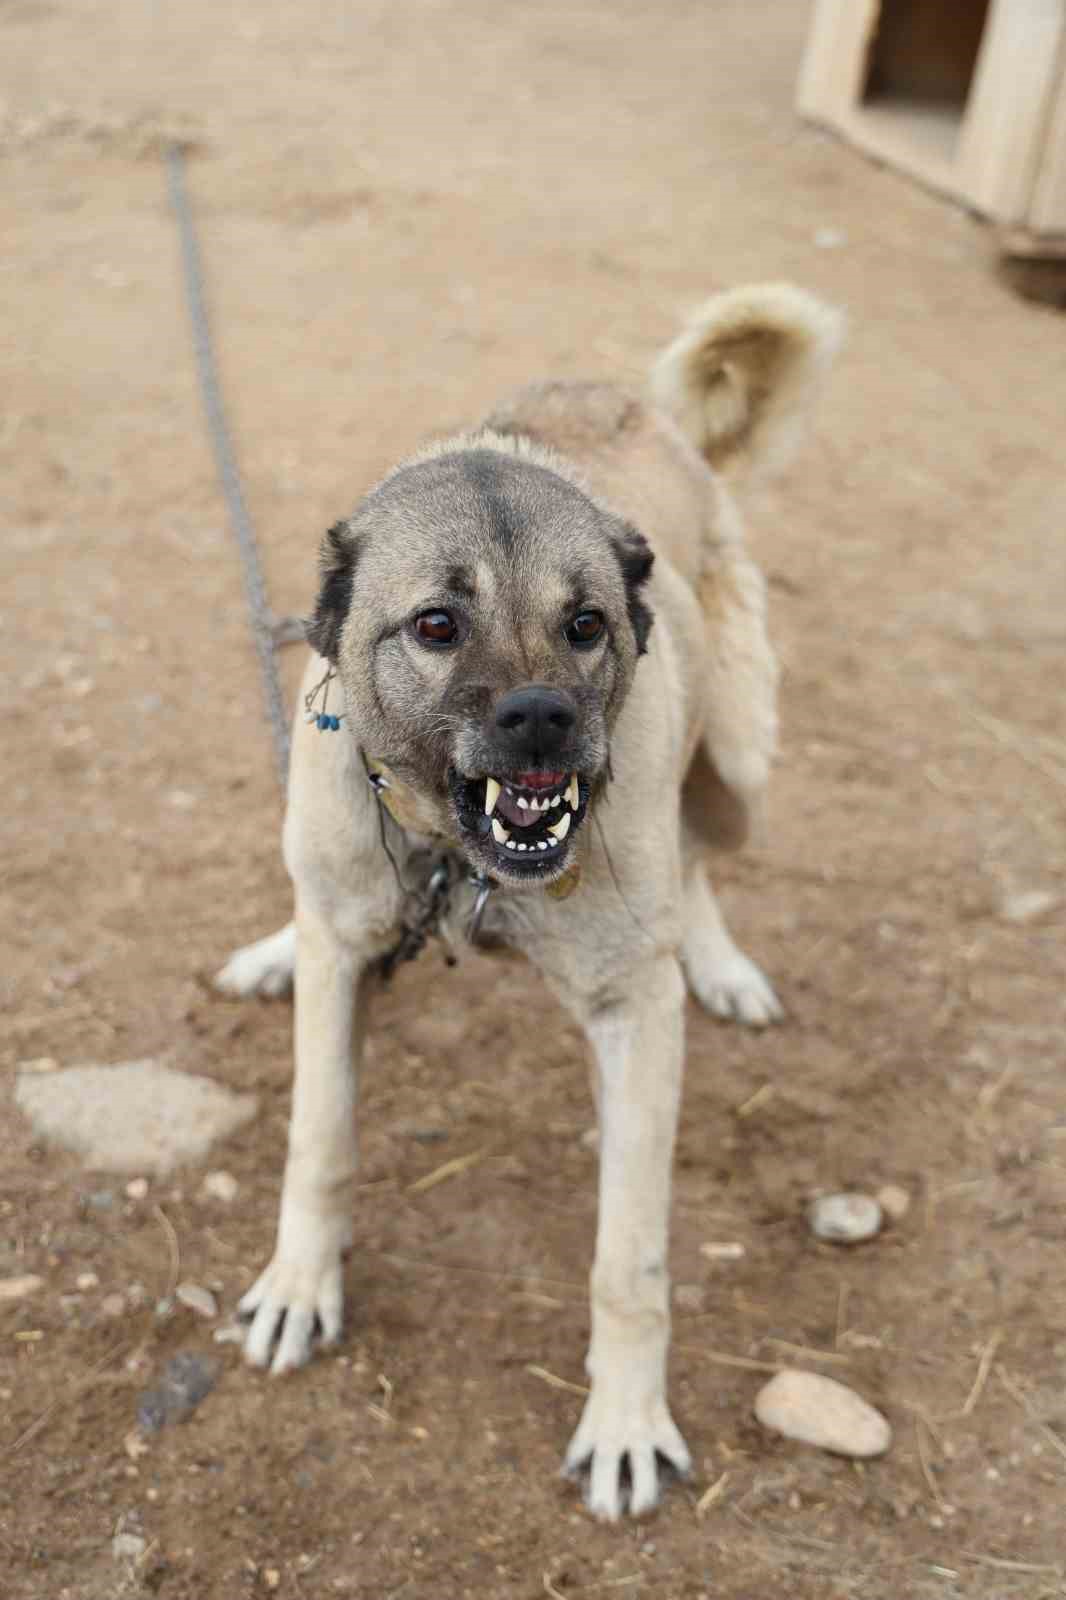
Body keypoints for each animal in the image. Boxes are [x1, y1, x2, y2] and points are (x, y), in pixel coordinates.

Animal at [216, 281, 838, 1516]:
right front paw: (300, 1284)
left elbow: (628, 1257)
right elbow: (320, 1135)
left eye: (585, 624)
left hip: (739, 754)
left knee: (700, 853)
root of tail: (654, 416)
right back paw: (274, 944)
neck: (460, 863)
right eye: (436, 626)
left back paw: (719, 961)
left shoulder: (635, 1016)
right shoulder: (349, 948)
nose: (543, 718)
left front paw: (627, 1422)